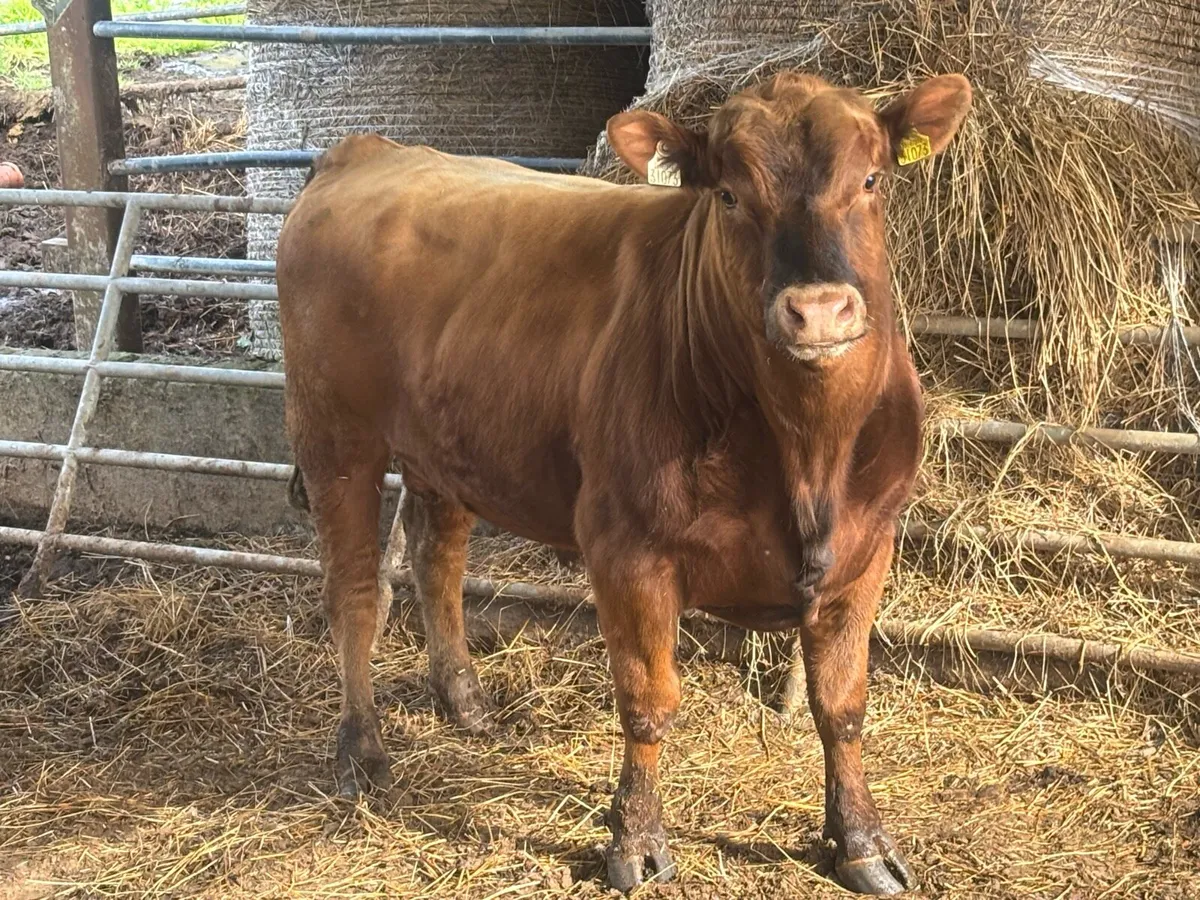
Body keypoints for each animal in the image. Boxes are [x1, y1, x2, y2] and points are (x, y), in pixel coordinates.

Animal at [276, 70, 972, 895]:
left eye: (870, 181)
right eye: (729, 194)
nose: (819, 310)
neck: (807, 455)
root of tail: (369, 150)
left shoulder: (869, 548)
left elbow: (843, 706)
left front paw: (862, 842)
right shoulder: (626, 547)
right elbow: (647, 701)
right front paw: (635, 841)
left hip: (440, 442)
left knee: (435, 558)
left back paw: (466, 701)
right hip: (334, 433)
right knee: (354, 590)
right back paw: (362, 750)